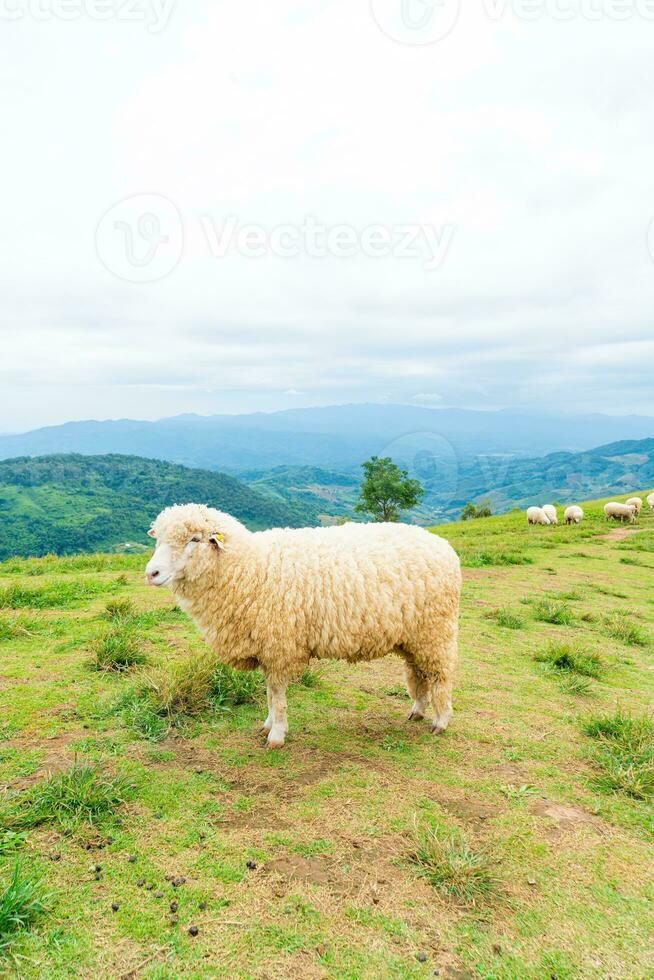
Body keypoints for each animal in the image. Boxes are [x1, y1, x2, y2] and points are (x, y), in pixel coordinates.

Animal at [146, 506, 464, 752]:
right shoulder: (267, 646)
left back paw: (441, 721)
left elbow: (277, 694)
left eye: (195, 539)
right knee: (418, 673)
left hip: (436, 630)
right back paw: (418, 710)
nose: (152, 573)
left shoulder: (278, 644)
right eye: (158, 538)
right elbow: (269, 693)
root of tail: (442, 544)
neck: (248, 567)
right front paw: (267, 725)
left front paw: (276, 735)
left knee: (441, 675)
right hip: (413, 637)